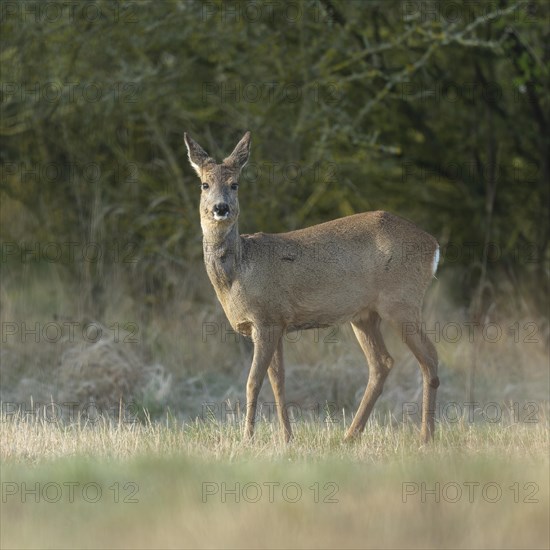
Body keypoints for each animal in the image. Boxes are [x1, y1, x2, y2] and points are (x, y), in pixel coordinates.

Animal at [188, 132, 442, 446]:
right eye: (204, 184)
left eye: (235, 183)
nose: (220, 208)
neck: (238, 272)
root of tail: (433, 245)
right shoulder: (277, 322)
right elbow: (279, 381)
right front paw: (287, 438)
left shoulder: (266, 319)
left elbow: (253, 381)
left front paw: (247, 439)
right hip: (365, 315)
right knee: (382, 363)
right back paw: (350, 436)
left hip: (402, 301)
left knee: (430, 358)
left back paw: (425, 438)